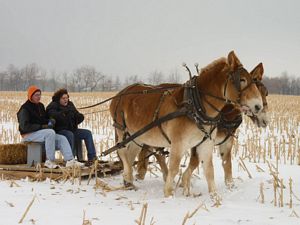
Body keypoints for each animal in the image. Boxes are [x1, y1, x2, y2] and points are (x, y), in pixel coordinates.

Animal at [109, 51, 262, 197]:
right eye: (242, 80)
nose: (258, 106)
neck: (195, 106)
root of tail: (118, 95)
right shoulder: (178, 144)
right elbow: (174, 168)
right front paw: (168, 193)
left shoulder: (205, 144)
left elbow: (209, 169)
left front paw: (215, 197)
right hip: (122, 130)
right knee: (122, 151)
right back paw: (128, 176)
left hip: (137, 137)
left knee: (130, 155)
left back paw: (128, 181)